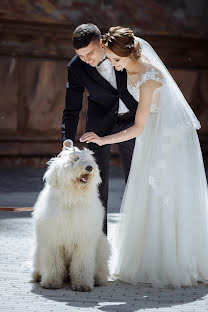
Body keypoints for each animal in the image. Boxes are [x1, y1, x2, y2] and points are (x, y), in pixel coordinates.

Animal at [31, 146, 109, 290]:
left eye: (89, 159)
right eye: (76, 159)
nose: (90, 167)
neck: (72, 198)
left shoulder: (84, 241)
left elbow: (82, 263)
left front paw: (82, 284)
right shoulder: (53, 240)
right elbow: (53, 262)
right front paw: (51, 282)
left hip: (102, 248)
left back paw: (99, 280)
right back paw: (37, 275)